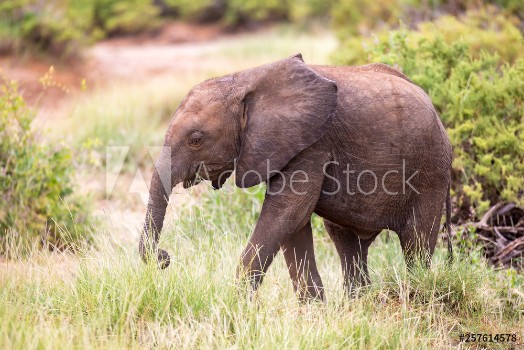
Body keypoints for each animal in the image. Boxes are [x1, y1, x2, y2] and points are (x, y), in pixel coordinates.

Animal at [140, 54, 454, 300]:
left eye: (196, 139)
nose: (164, 257)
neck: (244, 80)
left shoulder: (313, 144)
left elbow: (286, 213)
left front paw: (234, 306)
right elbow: (294, 223)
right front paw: (314, 312)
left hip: (431, 171)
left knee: (416, 243)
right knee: (348, 243)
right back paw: (360, 304)